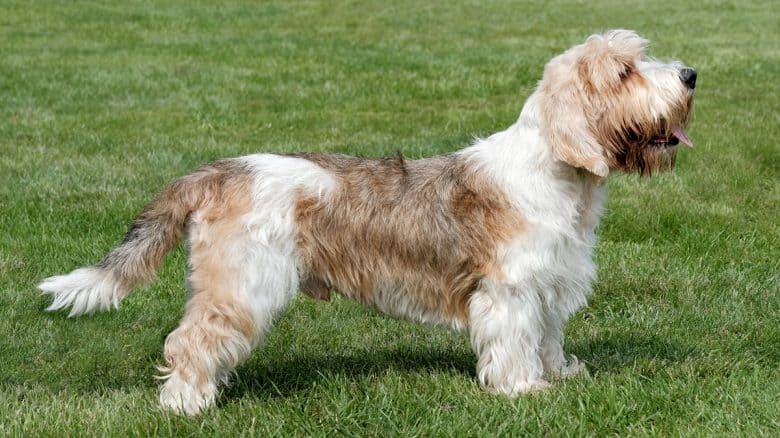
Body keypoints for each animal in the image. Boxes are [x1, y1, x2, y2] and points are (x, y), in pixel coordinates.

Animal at [38, 30, 696, 414]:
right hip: (243, 285)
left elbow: (548, 338)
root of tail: (221, 170)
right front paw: (522, 391)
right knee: (191, 340)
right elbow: (514, 341)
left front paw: (560, 376)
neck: (558, 175)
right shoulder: (510, 291)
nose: (691, 76)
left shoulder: (550, 286)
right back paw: (187, 405)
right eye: (625, 72)